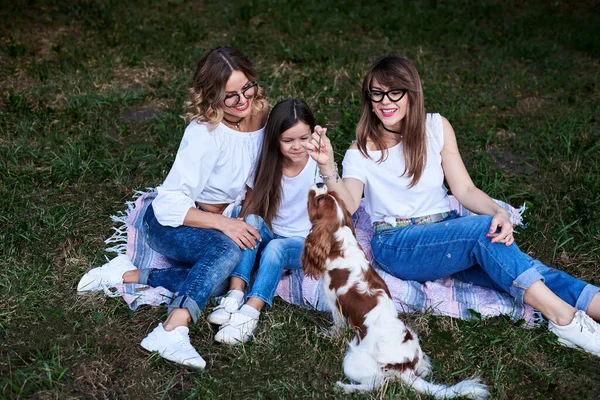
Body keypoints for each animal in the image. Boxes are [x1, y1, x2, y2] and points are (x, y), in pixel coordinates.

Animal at [302, 183, 490, 398]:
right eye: (329, 193)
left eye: (319, 200)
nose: (319, 183)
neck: (341, 244)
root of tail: (405, 367)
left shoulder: (335, 304)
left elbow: (338, 325)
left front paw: (331, 334)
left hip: (353, 361)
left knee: (374, 383)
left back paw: (345, 387)